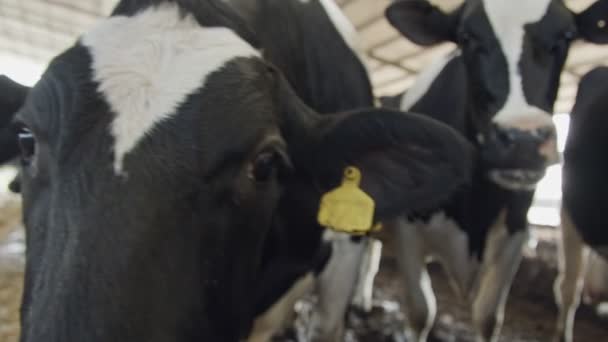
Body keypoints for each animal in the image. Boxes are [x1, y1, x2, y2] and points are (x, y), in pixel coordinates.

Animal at [380, 0, 608, 340]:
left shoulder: (514, 231)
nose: (523, 140)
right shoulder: (407, 228)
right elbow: (421, 311)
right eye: (466, 36)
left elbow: (487, 316)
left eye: (566, 36)